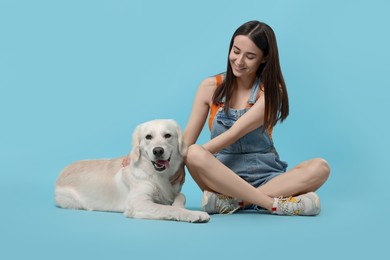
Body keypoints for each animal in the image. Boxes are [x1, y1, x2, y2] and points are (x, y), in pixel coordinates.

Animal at [54, 119, 210, 222]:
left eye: (168, 135)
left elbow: (181, 196)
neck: (156, 174)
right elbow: (169, 208)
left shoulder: (174, 191)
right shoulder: (137, 202)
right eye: (148, 137)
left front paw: (181, 206)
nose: (158, 151)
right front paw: (193, 214)